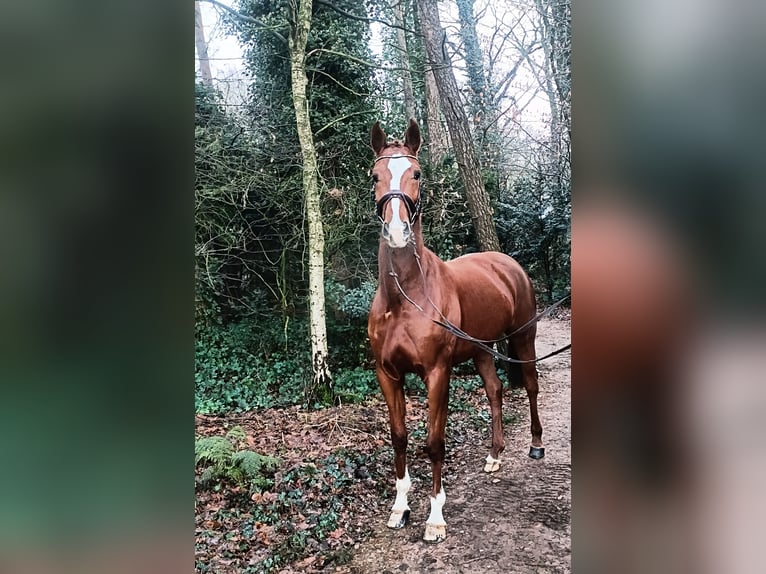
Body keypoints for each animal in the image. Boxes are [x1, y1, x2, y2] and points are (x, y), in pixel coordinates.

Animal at [368, 118, 544, 544]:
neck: (406, 297)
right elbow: (399, 437)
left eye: (417, 173)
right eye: (374, 176)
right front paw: (400, 508)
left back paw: (535, 445)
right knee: (495, 391)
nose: (396, 231)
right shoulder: (388, 374)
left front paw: (435, 518)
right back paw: (494, 456)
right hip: (482, 350)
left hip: (523, 339)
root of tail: (506, 264)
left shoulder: (437, 373)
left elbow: (434, 443)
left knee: (531, 387)